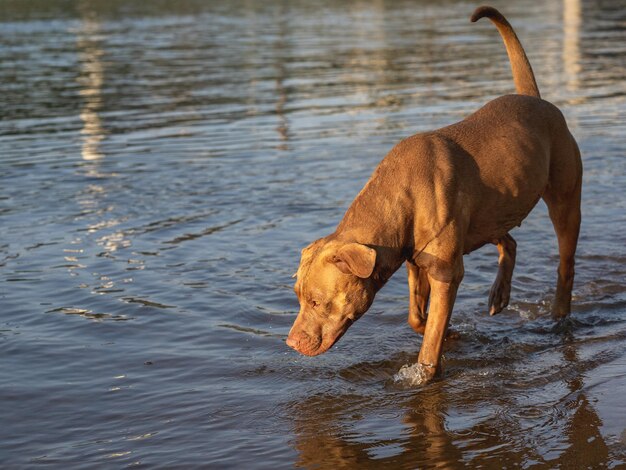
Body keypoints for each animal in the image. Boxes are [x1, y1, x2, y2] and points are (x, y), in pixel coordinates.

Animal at [286, 5, 580, 382]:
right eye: (298, 297)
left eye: (317, 301)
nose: (291, 343)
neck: (397, 197)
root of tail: (535, 99)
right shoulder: (416, 262)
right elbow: (417, 317)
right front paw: (448, 333)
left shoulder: (444, 272)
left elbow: (432, 332)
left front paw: (424, 371)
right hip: (491, 207)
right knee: (507, 239)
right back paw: (499, 294)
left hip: (564, 201)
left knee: (565, 261)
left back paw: (559, 314)